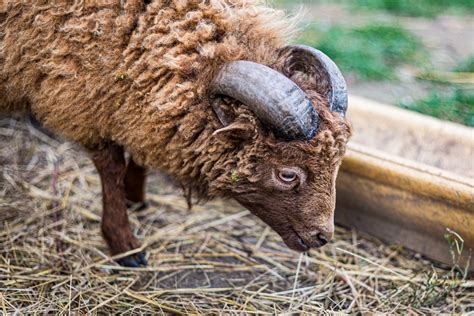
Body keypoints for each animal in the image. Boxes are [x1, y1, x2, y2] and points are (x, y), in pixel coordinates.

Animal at [0, 0, 352, 266]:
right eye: (287, 174)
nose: (323, 237)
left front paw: (136, 200)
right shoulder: (80, 99)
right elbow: (110, 168)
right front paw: (126, 247)